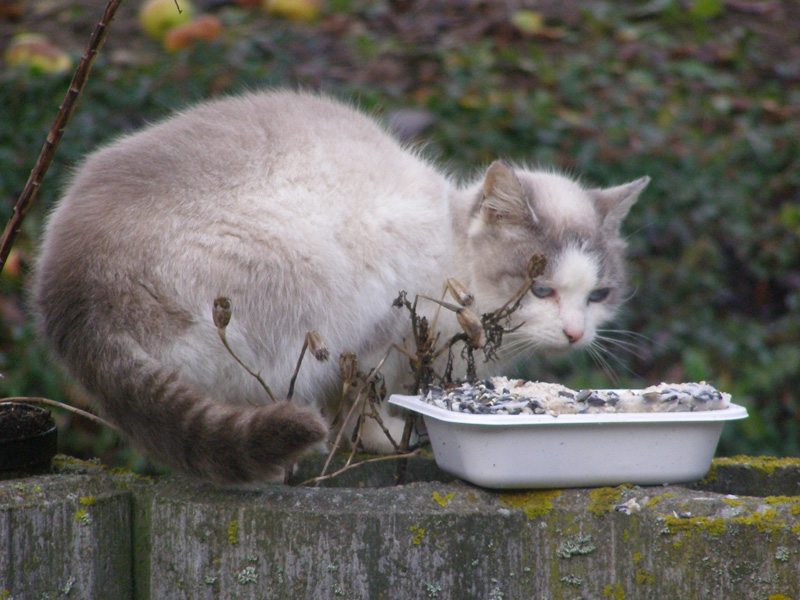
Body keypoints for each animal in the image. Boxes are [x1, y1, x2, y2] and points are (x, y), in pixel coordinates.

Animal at [32, 88, 648, 482]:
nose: (575, 333)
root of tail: (74, 289)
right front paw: (388, 440)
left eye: (598, 296)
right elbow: (363, 402)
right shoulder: (379, 334)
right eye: (541, 291)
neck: (451, 247)